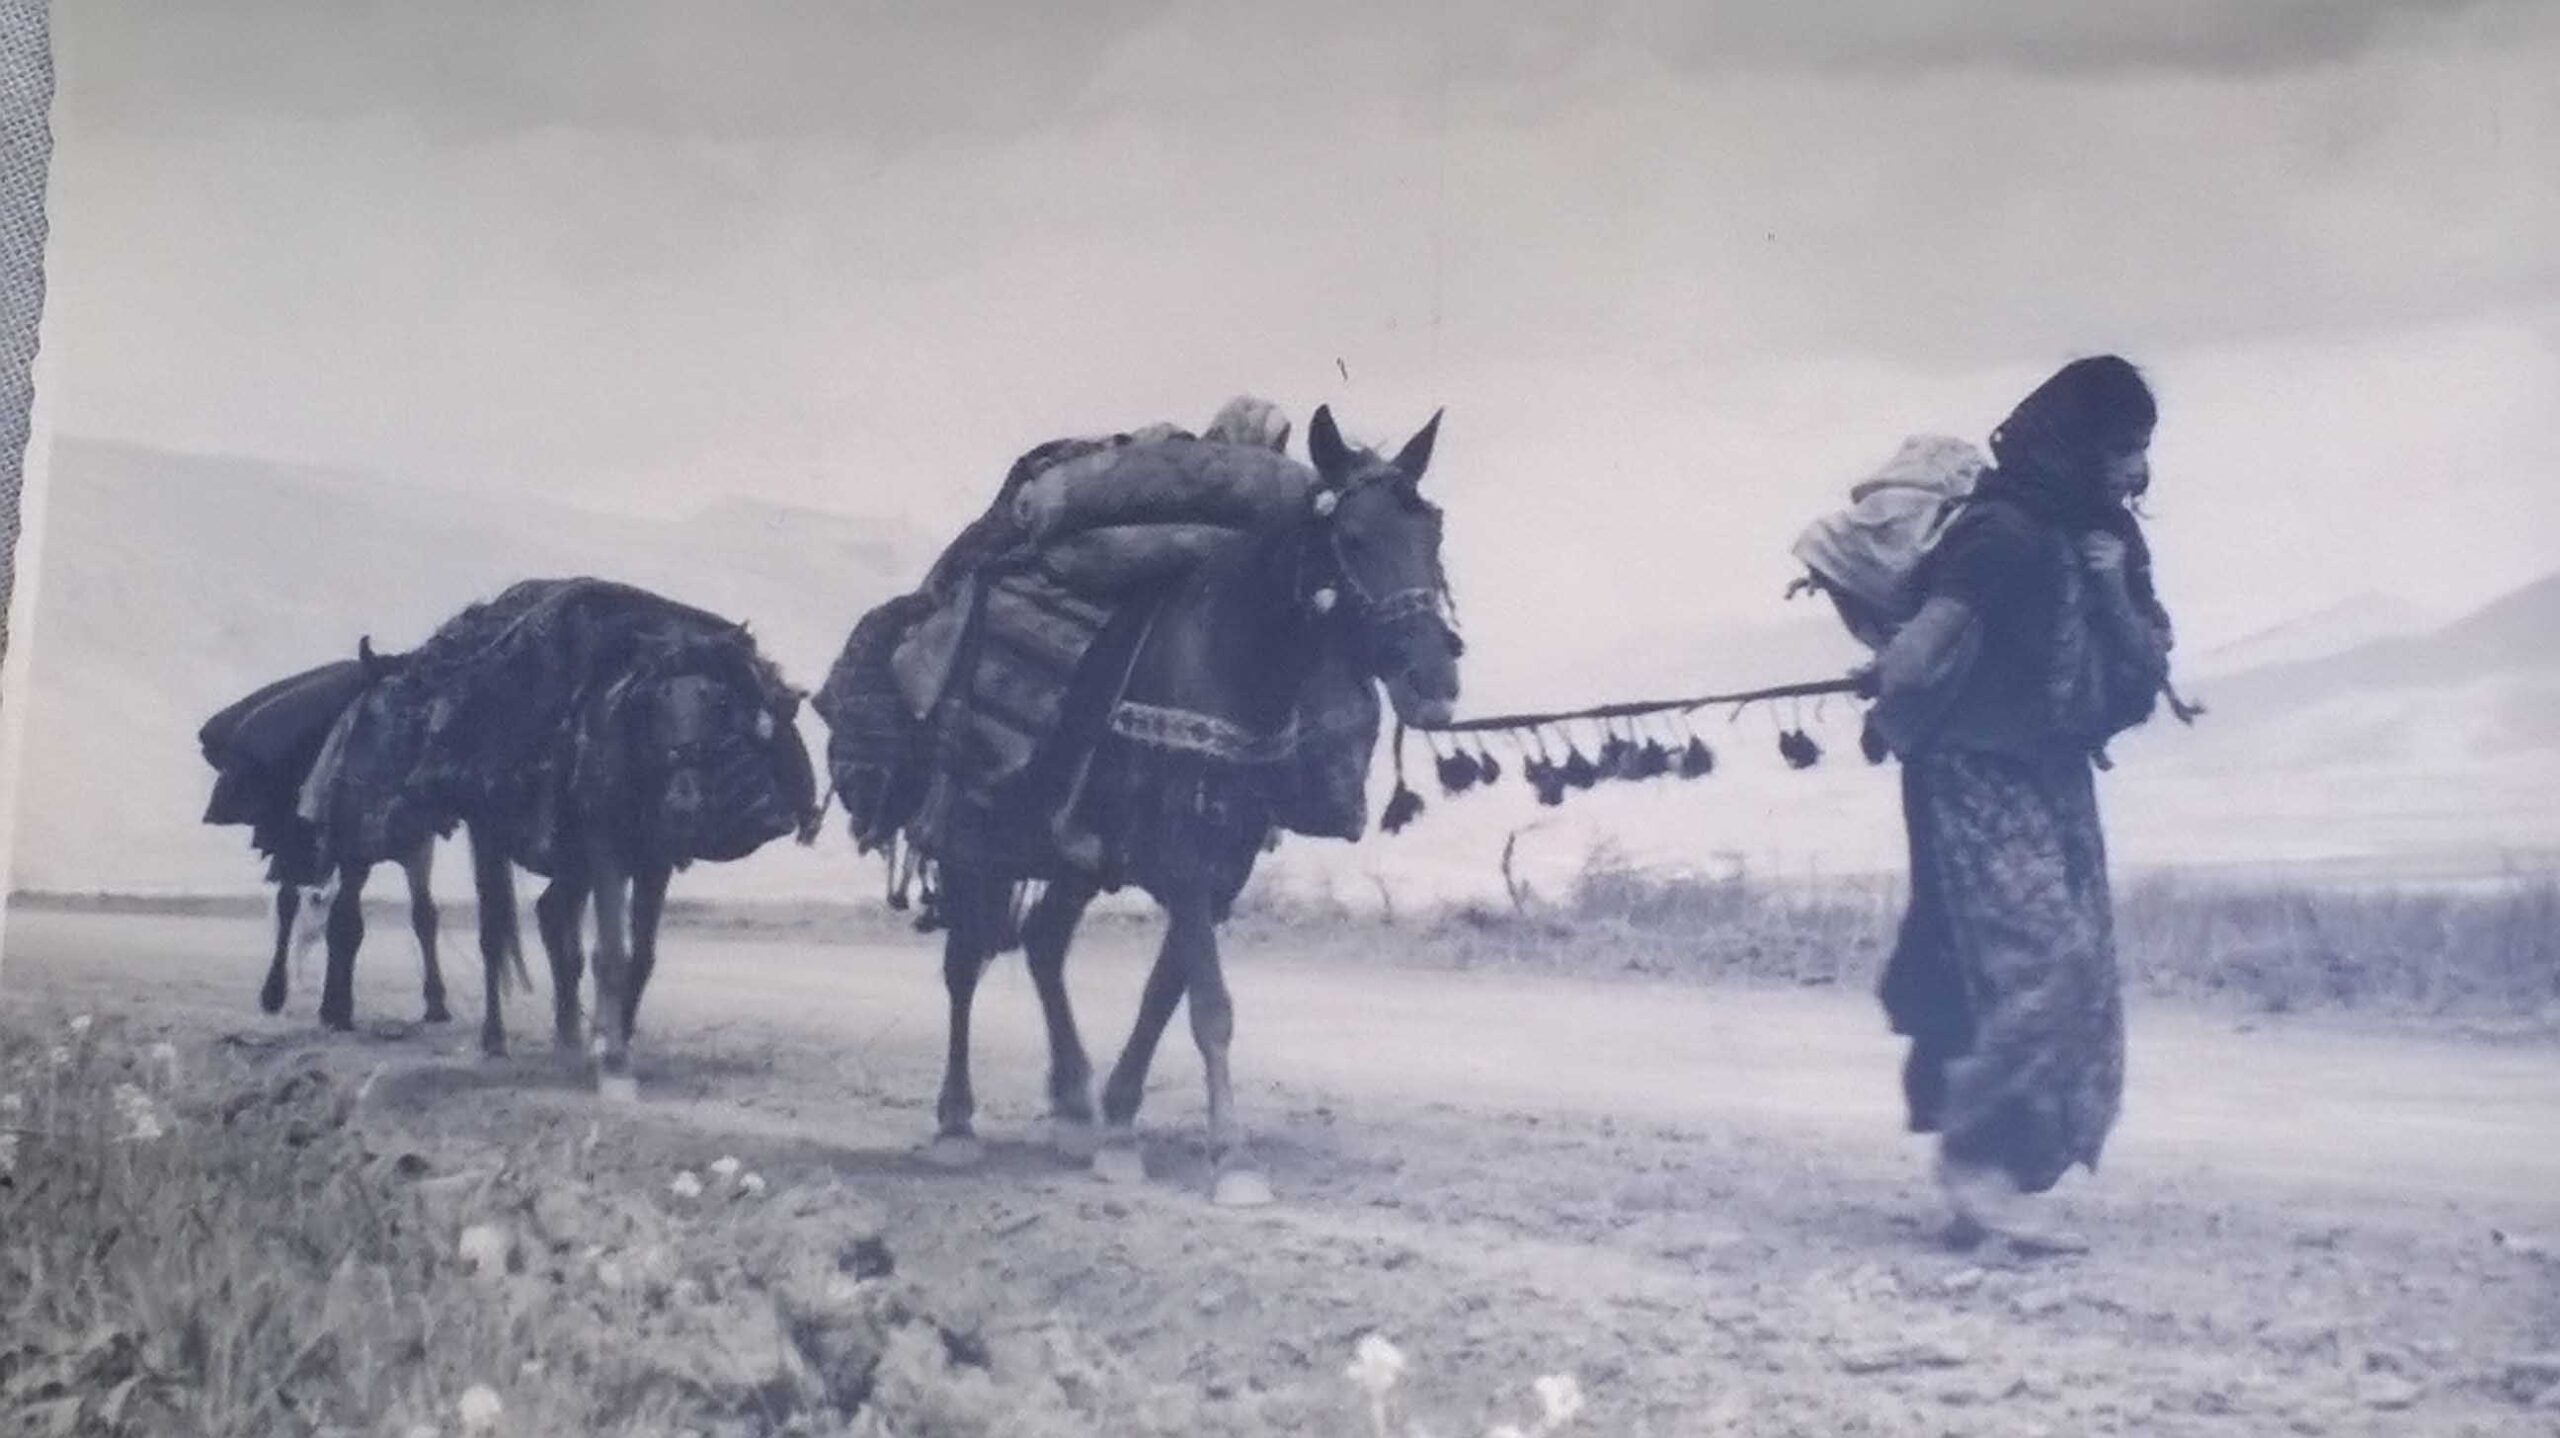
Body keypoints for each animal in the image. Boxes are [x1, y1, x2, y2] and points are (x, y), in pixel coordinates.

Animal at [298, 573, 819, 1084]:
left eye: (721, 700)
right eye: (654, 703)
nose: (686, 802)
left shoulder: (653, 864)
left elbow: (640, 955)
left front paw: (616, 1036)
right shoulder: (605, 854)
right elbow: (609, 953)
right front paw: (611, 1053)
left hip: (569, 862)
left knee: (552, 918)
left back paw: (566, 1036)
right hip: (492, 840)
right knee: (495, 935)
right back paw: (496, 1039)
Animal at [819, 404, 1464, 1197]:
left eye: (1433, 534)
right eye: (1353, 538)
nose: (1434, 682)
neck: (1223, 666)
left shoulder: (1220, 873)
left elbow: (1166, 999)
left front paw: (1121, 1125)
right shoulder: (1183, 865)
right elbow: (1210, 1006)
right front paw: (1233, 1160)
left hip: (1073, 861)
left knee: (1042, 946)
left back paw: (1073, 1108)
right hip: (978, 842)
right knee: (964, 964)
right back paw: (957, 1124)